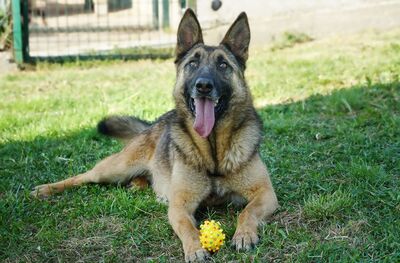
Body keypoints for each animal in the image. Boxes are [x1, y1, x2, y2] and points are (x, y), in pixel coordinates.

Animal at [32, 9, 278, 262]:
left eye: (222, 64)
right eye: (193, 63)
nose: (203, 86)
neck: (214, 152)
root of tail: (153, 124)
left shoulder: (266, 194)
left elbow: (246, 212)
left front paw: (244, 234)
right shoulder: (180, 206)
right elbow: (188, 227)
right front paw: (195, 249)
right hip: (115, 168)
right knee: (83, 176)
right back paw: (46, 189)